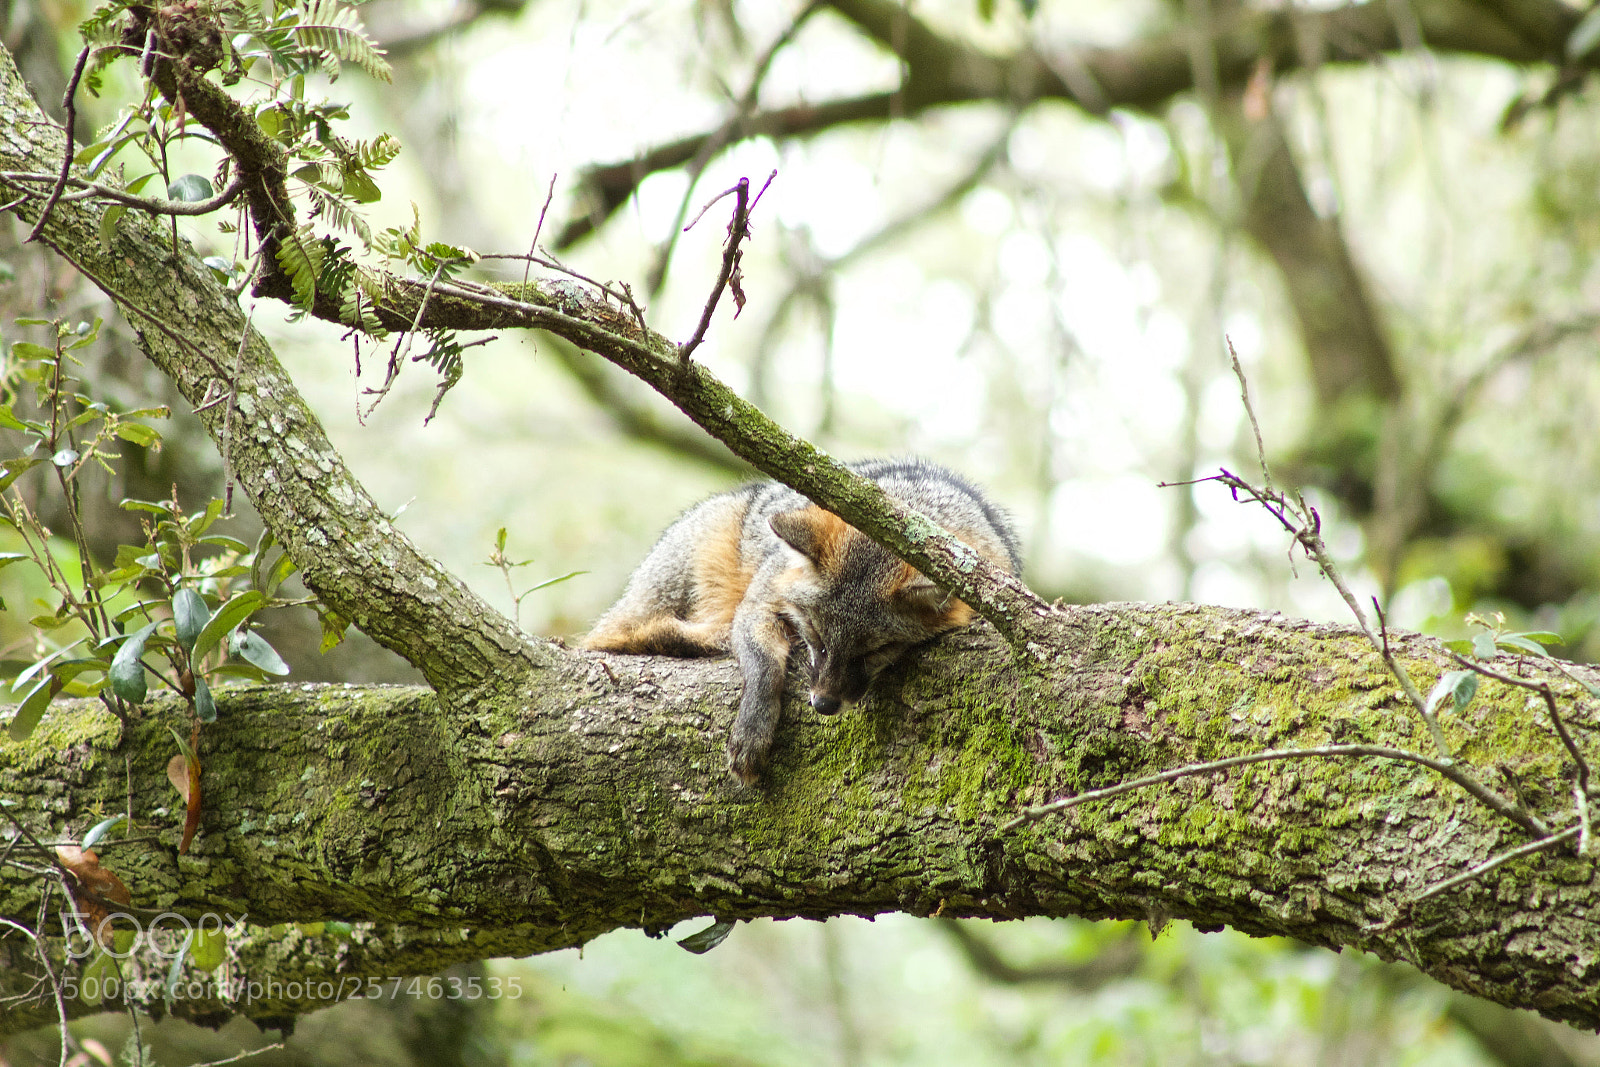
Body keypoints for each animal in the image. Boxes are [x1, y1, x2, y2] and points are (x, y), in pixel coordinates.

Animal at [582, 457, 1021, 783]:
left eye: (875, 651)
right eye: (818, 639)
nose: (823, 705)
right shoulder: (760, 599)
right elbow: (762, 665)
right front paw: (753, 731)